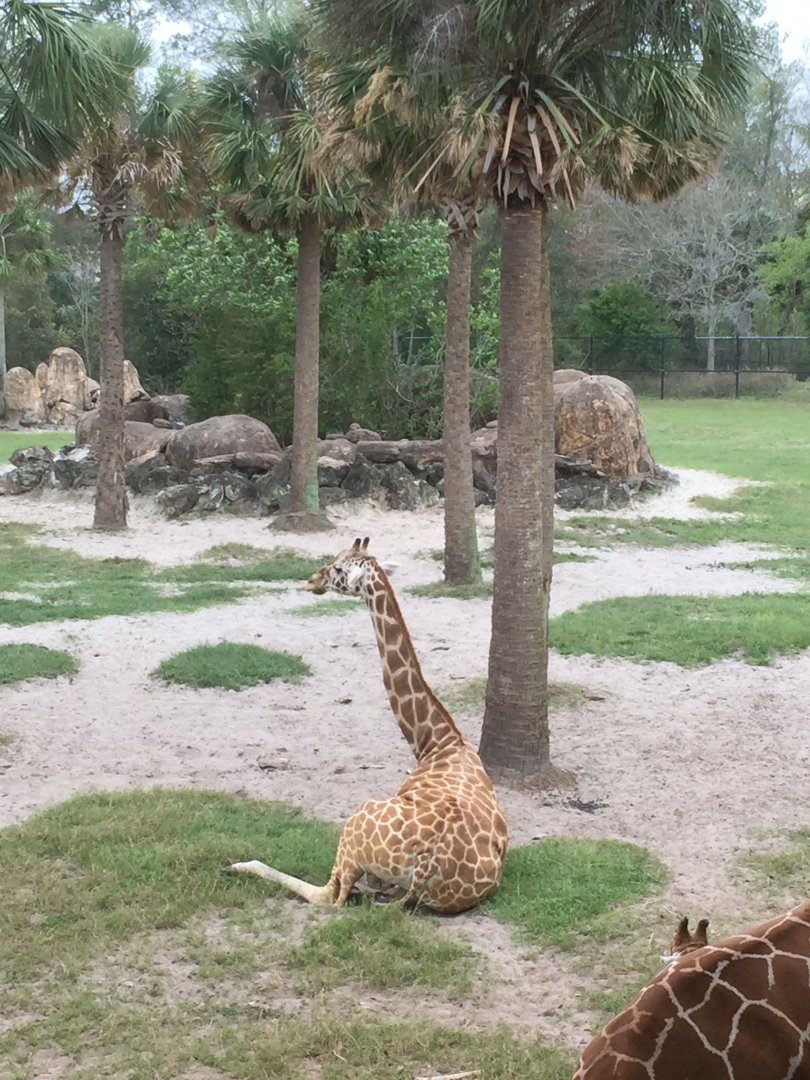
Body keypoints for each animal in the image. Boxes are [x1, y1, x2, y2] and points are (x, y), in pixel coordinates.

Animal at [226, 537, 508, 914]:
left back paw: (237, 864)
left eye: (337, 568)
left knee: (330, 896)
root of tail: (428, 866)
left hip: (355, 825)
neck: (439, 743)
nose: (311, 580)